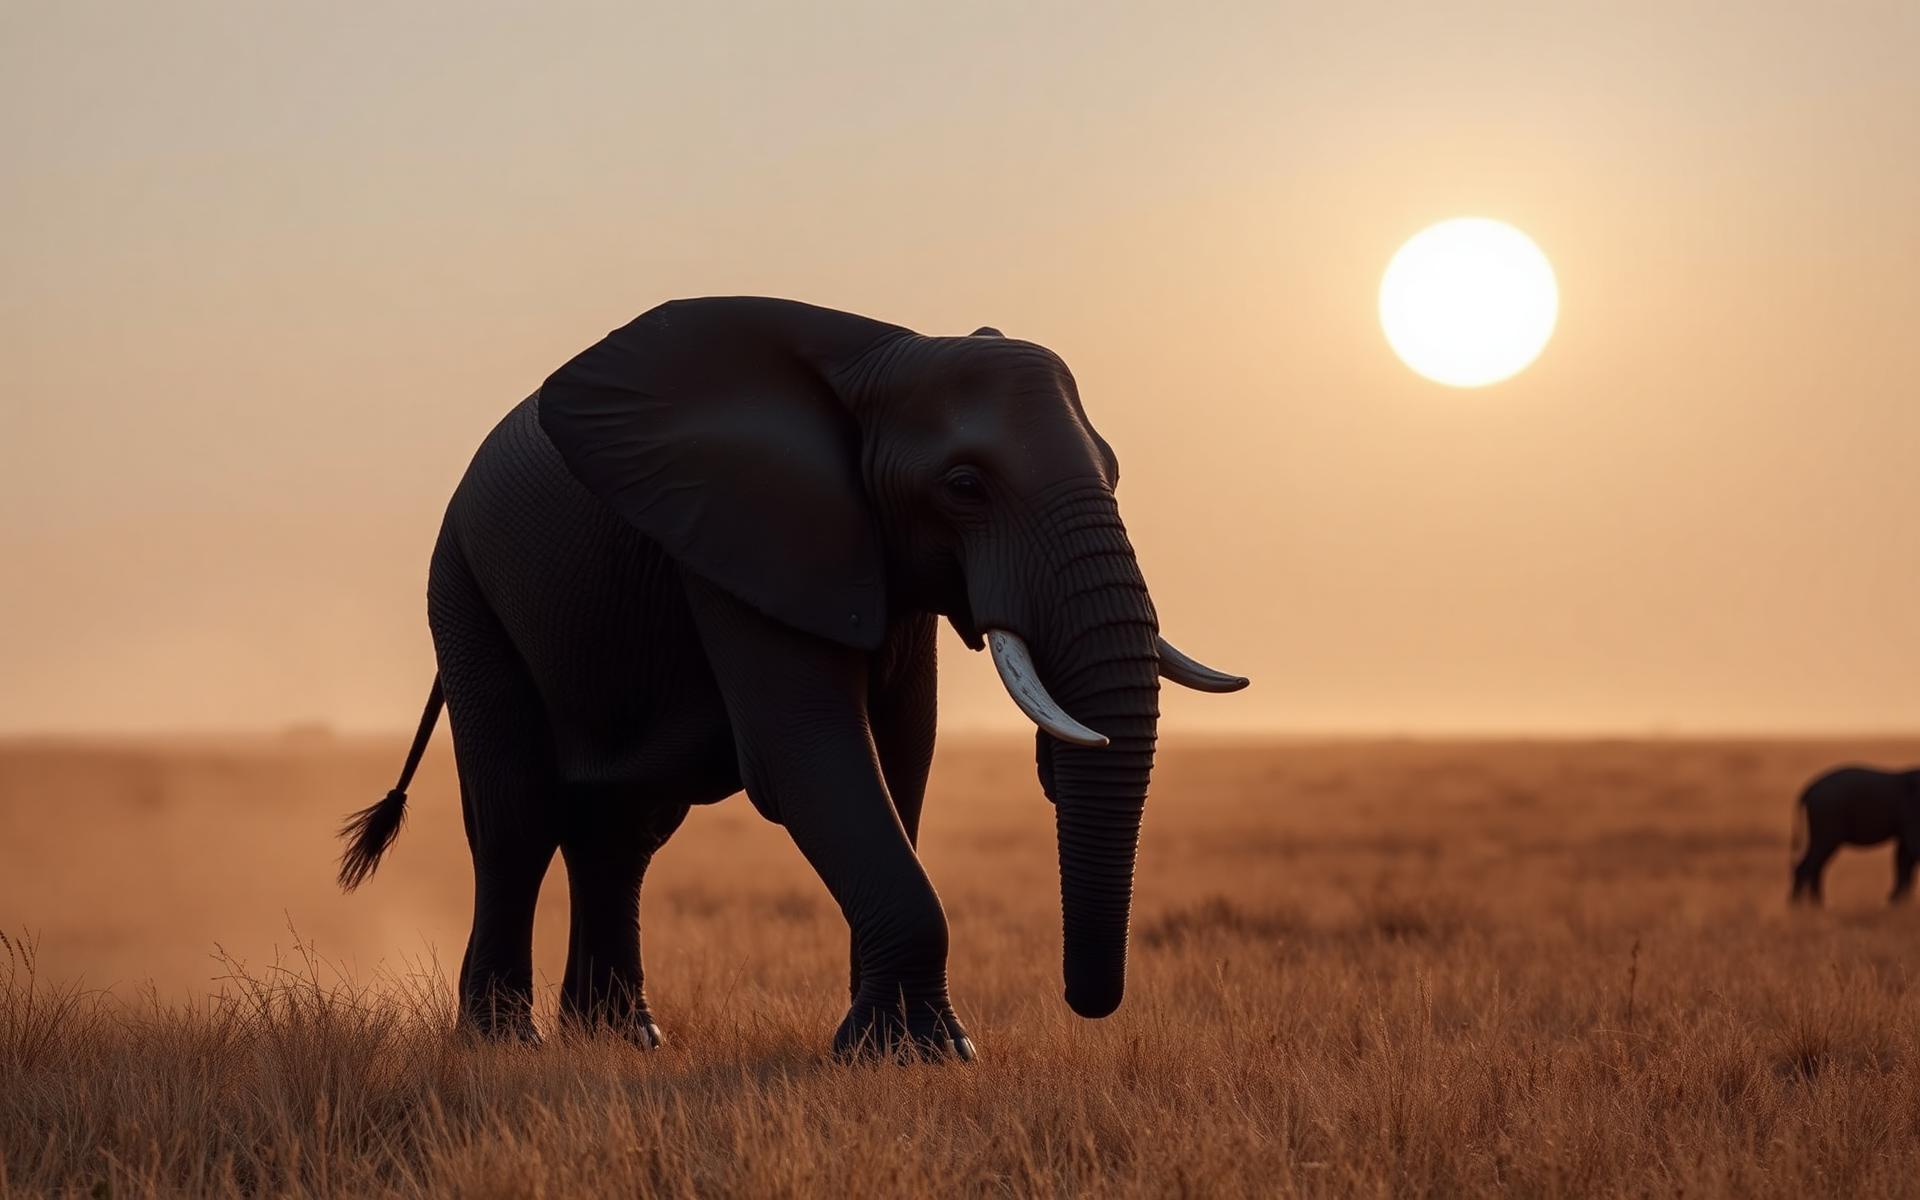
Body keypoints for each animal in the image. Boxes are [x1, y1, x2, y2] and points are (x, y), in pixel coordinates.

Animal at [337, 297, 1247, 1059]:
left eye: (1115, 472)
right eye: (964, 486)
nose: (1085, 1003)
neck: (881, 354)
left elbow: (902, 755)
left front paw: (897, 1046)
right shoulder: (740, 538)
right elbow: (808, 757)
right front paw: (919, 1054)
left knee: (622, 831)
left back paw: (622, 1041)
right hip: (465, 587)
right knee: (516, 817)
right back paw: (505, 1046)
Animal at [1790, 766, 1920, 905]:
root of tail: (1807, 790)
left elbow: (1903, 857)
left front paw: (1898, 904)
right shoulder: (1913, 813)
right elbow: (1910, 851)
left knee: (1818, 863)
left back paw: (1817, 906)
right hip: (1826, 816)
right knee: (1813, 860)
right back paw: (1798, 908)